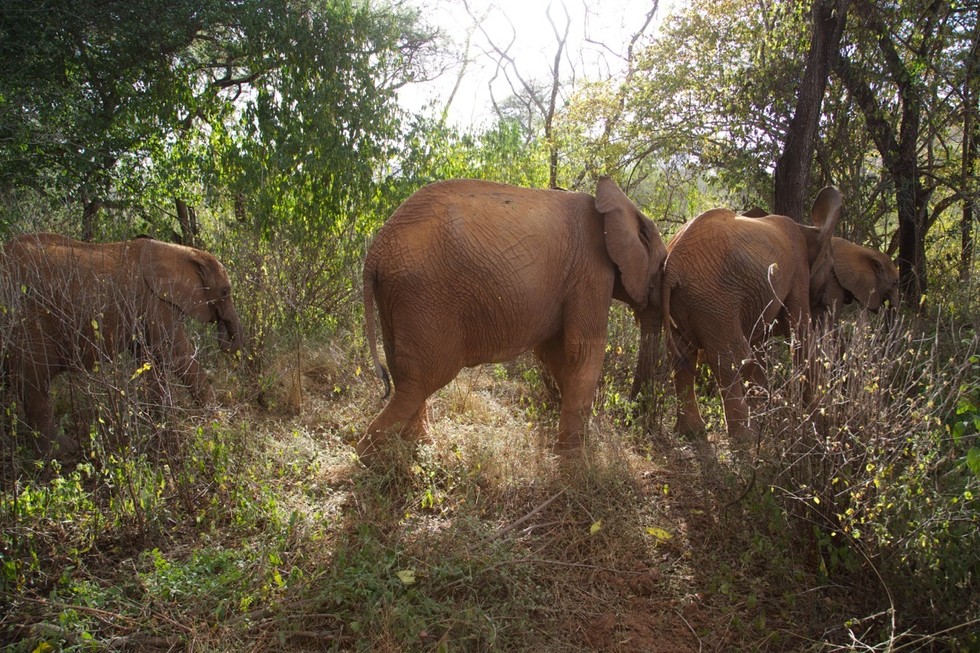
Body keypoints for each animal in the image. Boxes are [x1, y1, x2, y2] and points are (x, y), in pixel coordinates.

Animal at [0, 230, 244, 454]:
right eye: (225, 291)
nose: (222, 332)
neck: (182, 251)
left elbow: (149, 361)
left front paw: (159, 426)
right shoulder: (155, 301)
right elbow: (175, 355)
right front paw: (219, 424)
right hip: (27, 321)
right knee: (33, 382)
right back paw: (64, 451)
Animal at [356, 176, 668, 466]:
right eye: (662, 271)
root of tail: (376, 251)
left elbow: (557, 354)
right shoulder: (591, 269)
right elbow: (583, 351)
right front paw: (576, 464)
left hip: (398, 296)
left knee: (404, 372)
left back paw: (418, 448)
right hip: (425, 297)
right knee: (424, 376)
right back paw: (372, 458)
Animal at [652, 188, 844, 444]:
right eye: (831, 269)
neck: (807, 229)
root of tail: (672, 266)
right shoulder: (798, 272)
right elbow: (801, 335)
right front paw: (817, 417)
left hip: (686, 302)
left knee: (682, 357)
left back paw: (692, 432)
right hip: (715, 301)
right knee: (730, 357)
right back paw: (746, 438)